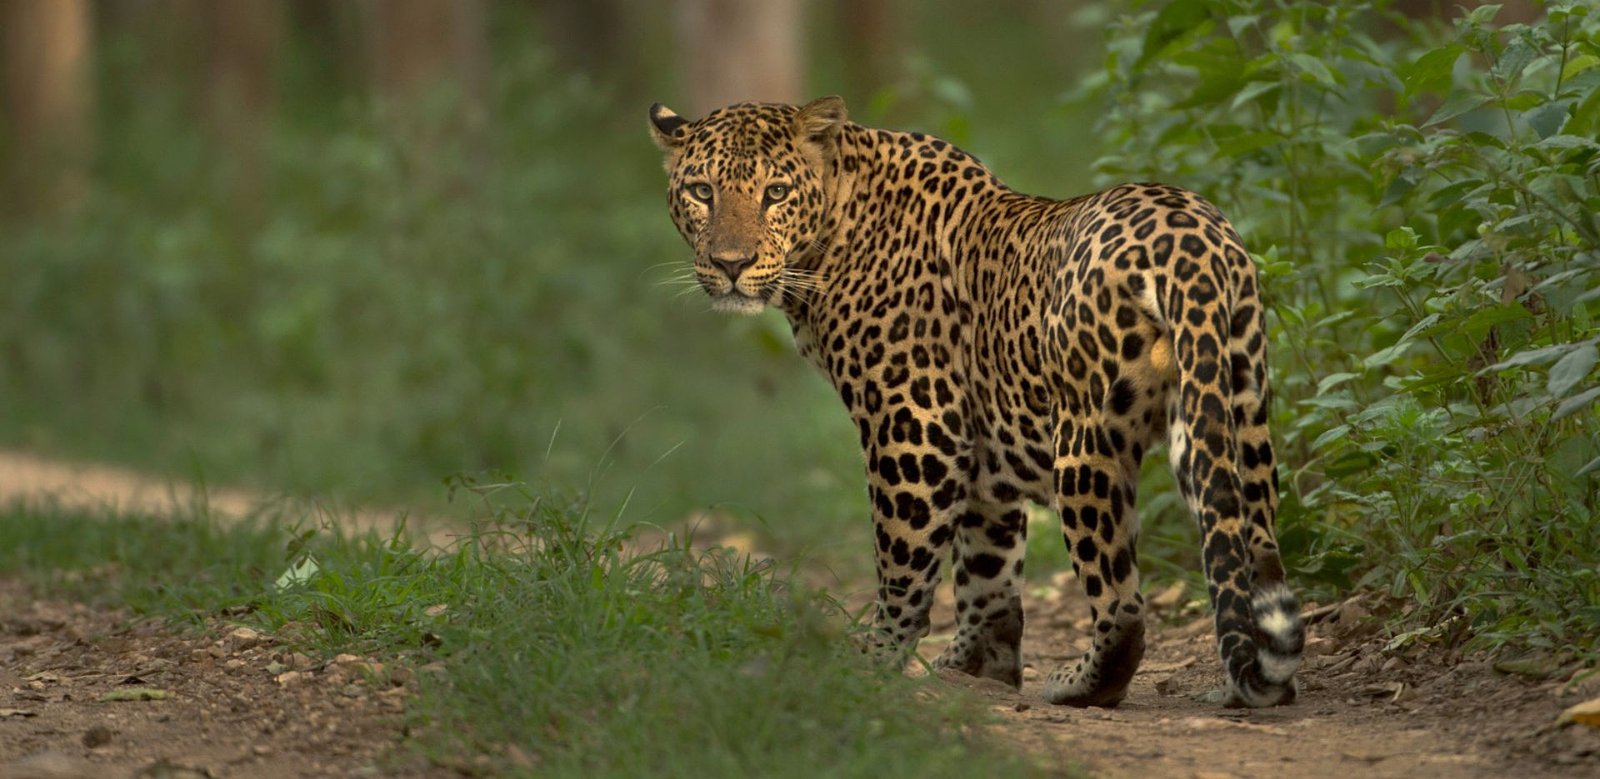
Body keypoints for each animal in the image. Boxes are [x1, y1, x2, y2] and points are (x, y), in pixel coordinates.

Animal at [647, 95, 1304, 708]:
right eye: (703, 192)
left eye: (775, 192)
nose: (731, 264)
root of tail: (1192, 243)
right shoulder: (986, 445)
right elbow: (987, 562)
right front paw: (978, 666)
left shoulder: (916, 425)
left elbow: (904, 558)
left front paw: (874, 660)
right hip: (1233, 409)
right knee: (1250, 543)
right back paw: (1255, 680)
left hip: (1086, 439)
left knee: (1122, 601)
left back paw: (1083, 684)